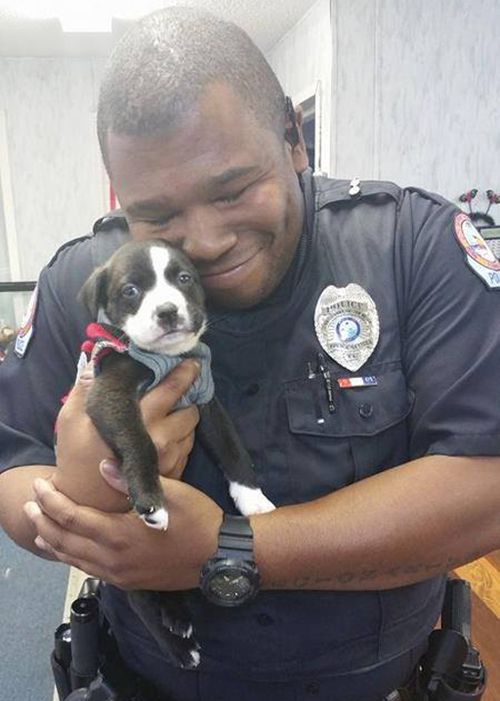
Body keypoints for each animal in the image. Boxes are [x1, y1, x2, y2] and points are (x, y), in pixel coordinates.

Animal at [78, 238, 276, 664]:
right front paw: (151, 499)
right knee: (140, 603)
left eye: (183, 279)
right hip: (128, 564)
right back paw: (178, 648)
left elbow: (232, 448)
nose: (168, 311)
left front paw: (253, 499)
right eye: (130, 291)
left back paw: (178, 616)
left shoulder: (206, 397)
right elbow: (140, 440)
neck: (169, 358)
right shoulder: (109, 395)